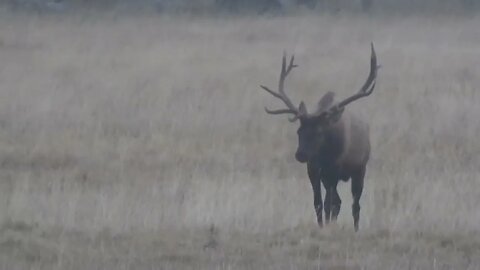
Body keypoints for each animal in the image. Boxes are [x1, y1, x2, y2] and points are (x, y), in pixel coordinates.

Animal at [258, 43, 378, 231]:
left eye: (319, 132)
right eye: (299, 131)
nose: (300, 154)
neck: (324, 155)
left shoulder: (334, 169)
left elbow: (330, 203)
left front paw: (327, 227)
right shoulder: (314, 170)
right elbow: (318, 203)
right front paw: (322, 226)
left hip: (360, 169)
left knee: (355, 204)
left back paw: (356, 229)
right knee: (339, 201)